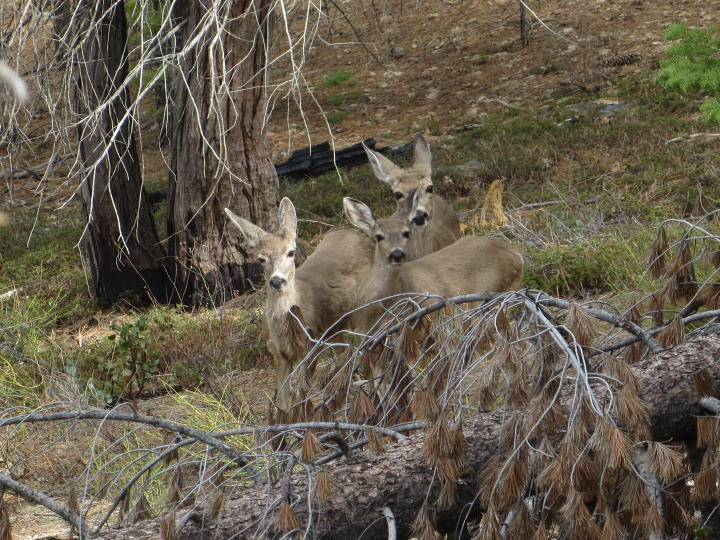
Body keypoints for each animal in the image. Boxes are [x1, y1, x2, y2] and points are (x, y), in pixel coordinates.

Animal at [224, 200, 372, 412]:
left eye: (290, 252)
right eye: (261, 259)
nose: (277, 281)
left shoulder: (312, 345)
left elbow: (302, 396)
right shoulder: (277, 352)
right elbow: (283, 402)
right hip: (336, 328)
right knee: (347, 356)